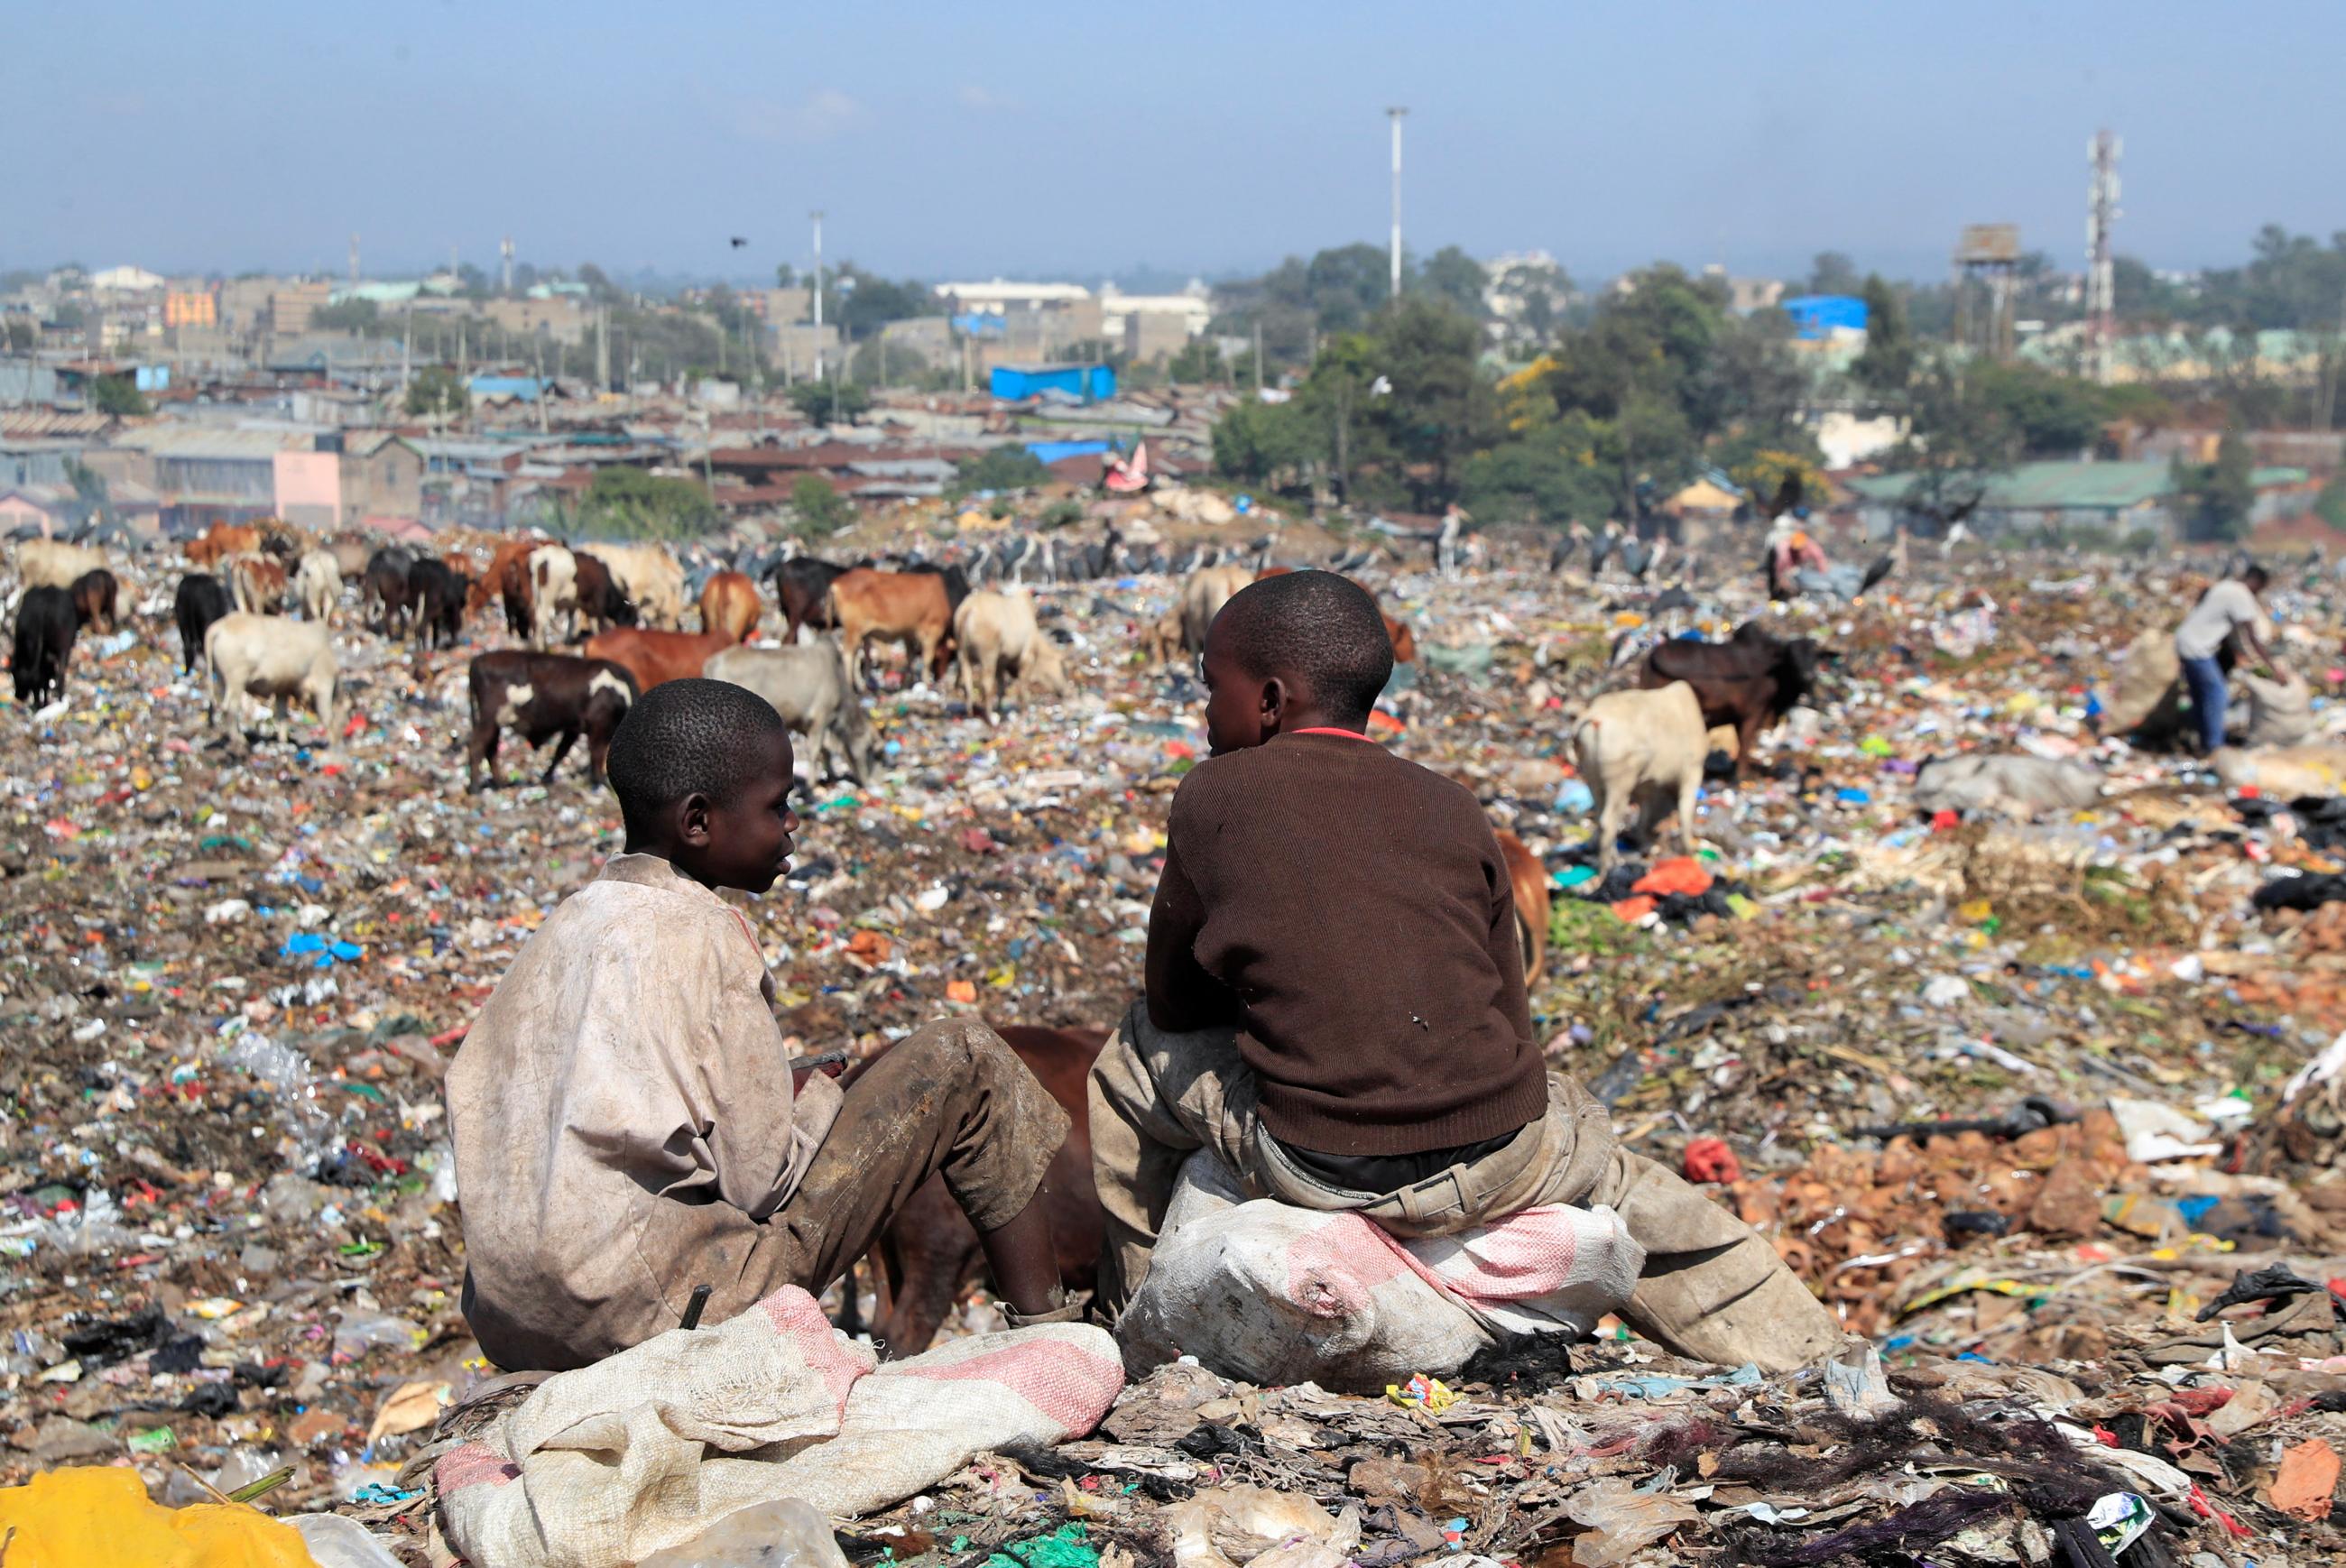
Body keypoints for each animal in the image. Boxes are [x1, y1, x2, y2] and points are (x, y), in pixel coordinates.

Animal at [464, 652, 642, 789]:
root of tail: (480, 659)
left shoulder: (574, 727)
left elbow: (561, 751)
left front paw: (547, 777)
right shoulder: (599, 724)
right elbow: (596, 753)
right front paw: (599, 780)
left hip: (495, 722)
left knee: (490, 749)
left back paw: (499, 783)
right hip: (490, 718)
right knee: (477, 746)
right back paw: (475, 787)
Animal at [830, 563, 956, 685]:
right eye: (949, 656)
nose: (940, 677)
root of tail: (837, 583)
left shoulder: (908, 633)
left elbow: (910, 656)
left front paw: (908, 681)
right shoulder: (933, 630)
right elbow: (927, 658)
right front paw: (926, 682)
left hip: (861, 633)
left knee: (864, 653)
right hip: (854, 630)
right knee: (848, 653)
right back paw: (850, 682)